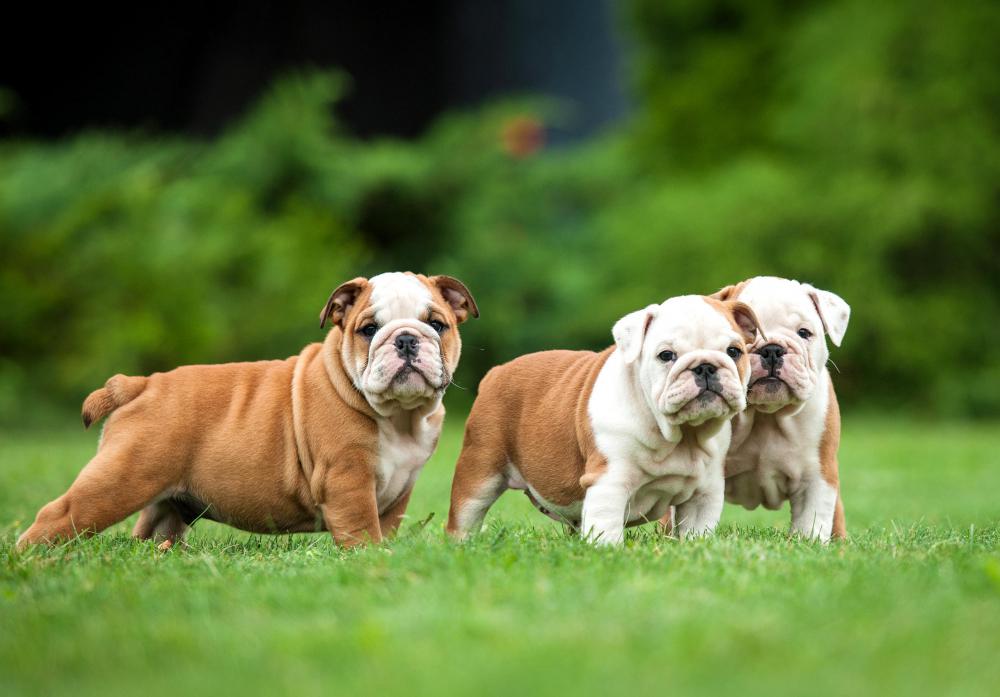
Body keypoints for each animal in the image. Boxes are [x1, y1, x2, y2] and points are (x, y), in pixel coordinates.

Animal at [18, 272, 480, 548]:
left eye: (437, 325)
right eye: (368, 330)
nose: (405, 339)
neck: (400, 417)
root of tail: (139, 384)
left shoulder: (398, 492)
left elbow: (386, 527)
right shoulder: (348, 480)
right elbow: (361, 530)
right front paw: (369, 558)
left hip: (165, 501)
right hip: (119, 479)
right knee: (57, 515)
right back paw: (30, 559)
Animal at [446, 294, 756, 544]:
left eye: (734, 351)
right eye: (666, 355)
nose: (705, 366)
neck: (681, 435)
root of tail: (495, 372)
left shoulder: (705, 494)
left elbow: (696, 531)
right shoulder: (609, 481)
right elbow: (607, 527)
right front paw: (608, 551)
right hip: (481, 470)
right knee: (466, 513)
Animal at [712, 274, 852, 540]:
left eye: (804, 333)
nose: (772, 349)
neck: (765, 414)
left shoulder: (816, 476)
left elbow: (811, 522)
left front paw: (809, 543)